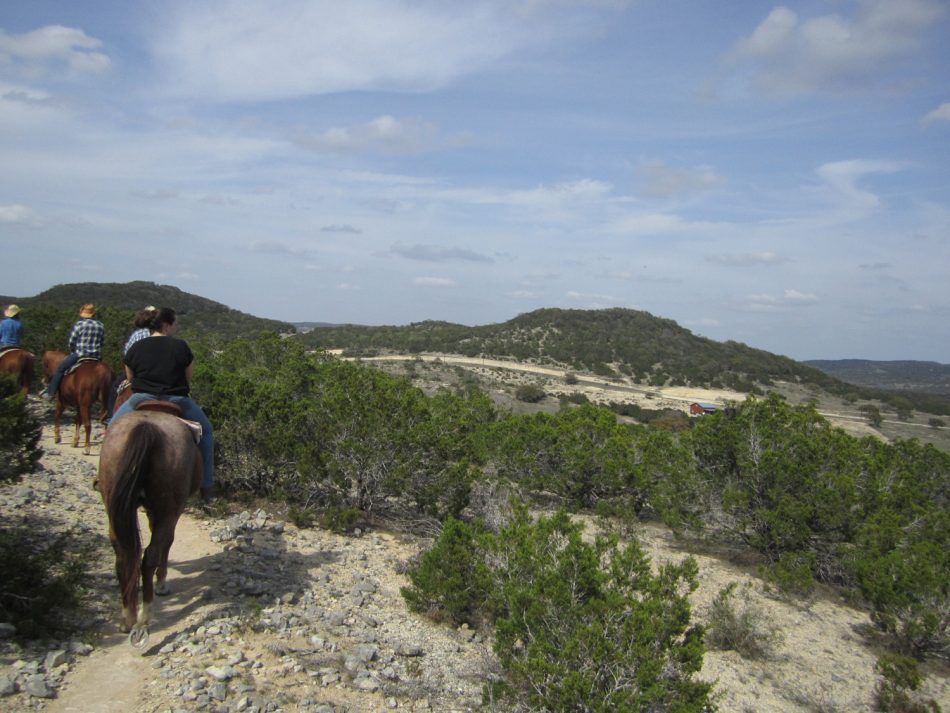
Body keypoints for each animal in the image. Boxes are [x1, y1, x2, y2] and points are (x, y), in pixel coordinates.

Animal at [96, 406, 203, 644]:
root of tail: (147, 428)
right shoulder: (170, 512)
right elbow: (167, 541)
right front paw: (162, 583)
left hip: (114, 506)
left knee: (124, 556)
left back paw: (129, 618)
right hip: (168, 508)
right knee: (149, 555)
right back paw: (143, 619)